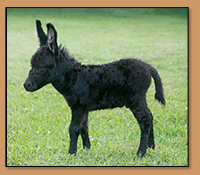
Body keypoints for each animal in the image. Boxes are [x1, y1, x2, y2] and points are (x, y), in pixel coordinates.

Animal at [23, 19, 165, 157]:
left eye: (41, 67)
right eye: (31, 65)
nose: (26, 85)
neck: (74, 77)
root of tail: (147, 66)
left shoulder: (78, 107)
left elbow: (73, 128)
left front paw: (71, 153)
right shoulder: (84, 108)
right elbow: (84, 128)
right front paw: (86, 149)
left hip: (135, 98)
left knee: (145, 120)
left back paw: (141, 152)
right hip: (138, 99)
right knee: (150, 116)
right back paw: (151, 147)